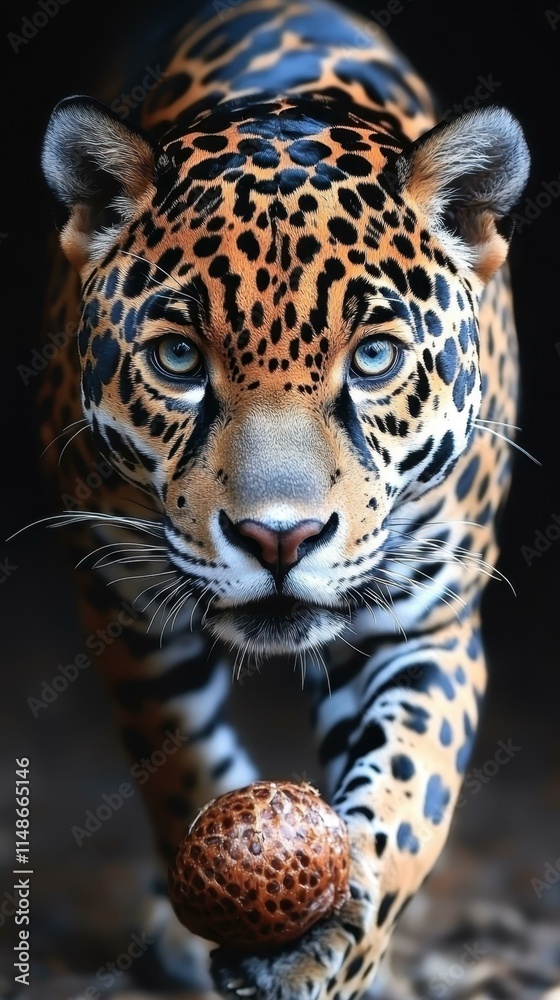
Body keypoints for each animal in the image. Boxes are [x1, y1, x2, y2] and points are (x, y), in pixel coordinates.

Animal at [38, 0, 530, 996]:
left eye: (374, 358)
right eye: (178, 360)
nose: (280, 539)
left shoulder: (428, 621)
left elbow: (409, 796)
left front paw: (326, 944)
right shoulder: (119, 592)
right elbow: (176, 756)